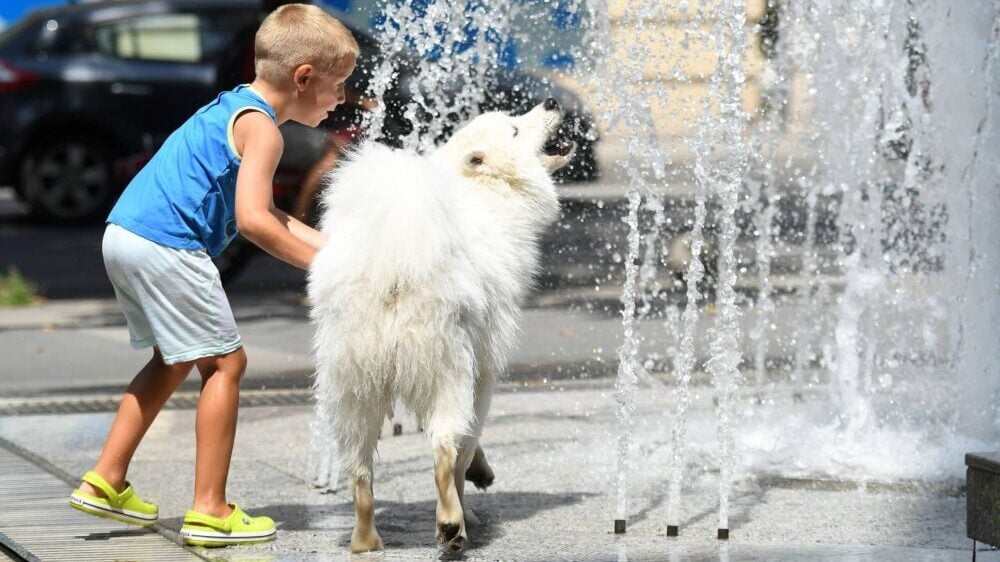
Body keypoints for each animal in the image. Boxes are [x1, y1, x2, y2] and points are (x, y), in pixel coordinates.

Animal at [308, 98, 576, 548]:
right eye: (514, 129)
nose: (552, 101)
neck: (489, 195)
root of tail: (391, 266)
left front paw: (481, 474)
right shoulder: (483, 367)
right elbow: (468, 441)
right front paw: (470, 501)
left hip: (353, 381)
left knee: (360, 468)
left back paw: (365, 539)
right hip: (445, 364)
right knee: (443, 449)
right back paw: (451, 524)